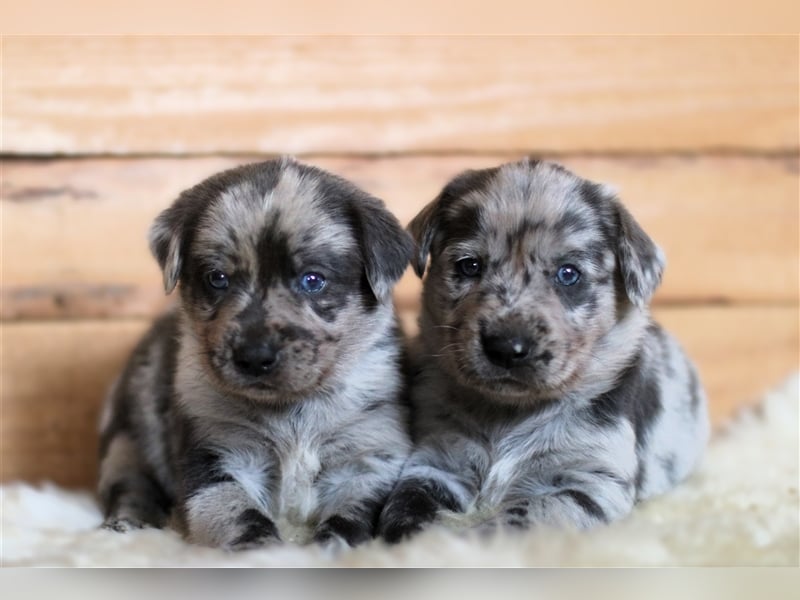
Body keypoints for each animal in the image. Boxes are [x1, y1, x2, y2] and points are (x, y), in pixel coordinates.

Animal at [97, 157, 416, 552]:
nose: (253, 357)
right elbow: (236, 512)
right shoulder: (215, 452)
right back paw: (126, 524)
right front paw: (263, 550)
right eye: (217, 278)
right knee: (130, 485)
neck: (292, 410)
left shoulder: (369, 455)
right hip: (127, 439)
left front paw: (331, 546)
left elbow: (351, 517)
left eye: (313, 280)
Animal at [378, 159, 708, 544]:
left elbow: (523, 517)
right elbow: (407, 506)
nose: (507, 348)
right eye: (469, 265)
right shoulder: (436, 459)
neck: (507, 413)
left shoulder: (589, 481)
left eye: (568, 274)